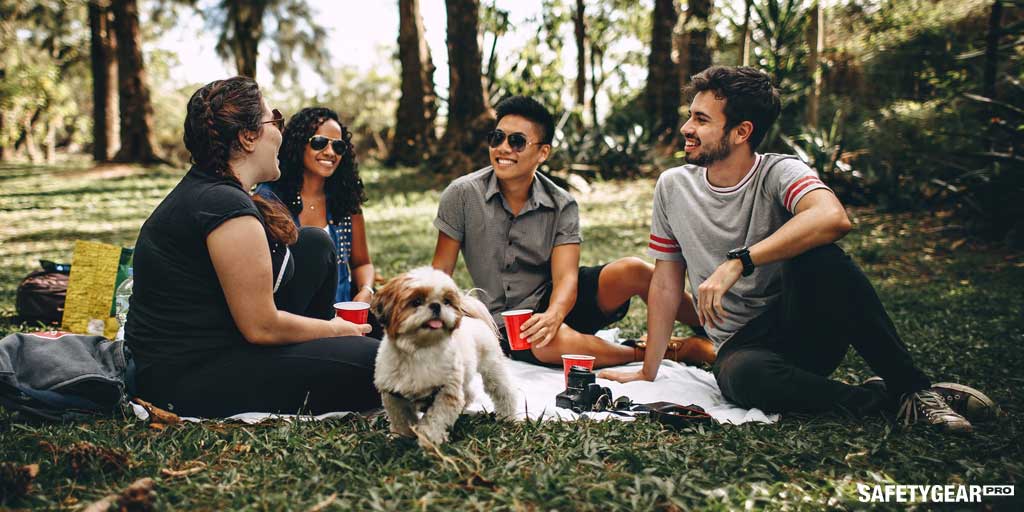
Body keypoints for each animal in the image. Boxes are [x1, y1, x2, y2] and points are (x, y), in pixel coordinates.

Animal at [370, 266, 520, 446]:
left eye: (446, 301)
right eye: (416, 302)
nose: (436, 305)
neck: (420, 349)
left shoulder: (447, 391)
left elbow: (436, 418)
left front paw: (429, 438)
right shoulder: (393, 394)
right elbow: (401, 418)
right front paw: (401, 437)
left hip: (492, 368)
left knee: (504, 391)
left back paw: (507, 416)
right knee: (468, 394)